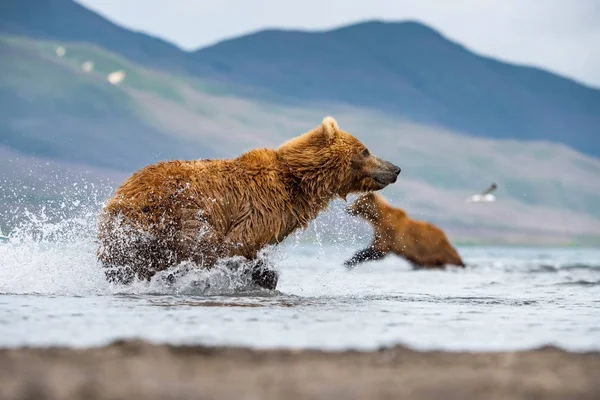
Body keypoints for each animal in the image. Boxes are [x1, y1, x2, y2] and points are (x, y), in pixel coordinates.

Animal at [97, 117, 398, 290]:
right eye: (365, 150)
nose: (395, 168)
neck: (298, 182)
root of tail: (120, 194)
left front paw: (264, 276)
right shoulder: (258, 206)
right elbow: (233, 246)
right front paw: (257, 275)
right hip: (169, 210)